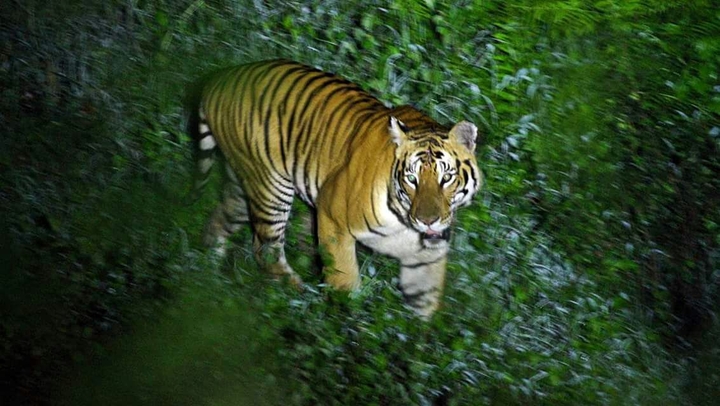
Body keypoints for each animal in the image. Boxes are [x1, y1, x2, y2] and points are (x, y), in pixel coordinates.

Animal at [191, 59, 482, 317]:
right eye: (412, 179)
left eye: (446, 178)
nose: (427, 221)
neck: (404, 224)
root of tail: (219, 80)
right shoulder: (332, 216)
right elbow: (344, 282)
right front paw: (343, 324)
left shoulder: (427, 258)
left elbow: (422, 311)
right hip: (271, 189)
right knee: (265, 250)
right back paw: (298, 299)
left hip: (243, 185)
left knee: (219, 221)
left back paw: (208, 277)